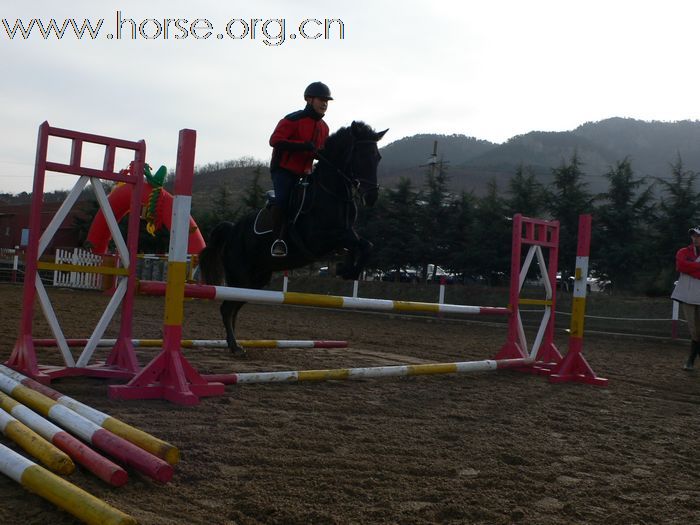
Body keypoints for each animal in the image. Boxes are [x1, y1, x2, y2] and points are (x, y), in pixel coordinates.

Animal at [198, 121, 388, 354]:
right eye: (360, 155)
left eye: (377, 157)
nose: (371, 197)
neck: (332, 193)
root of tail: (233, 229)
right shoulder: (319, 239)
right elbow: (358, 243)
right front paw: (347, 269)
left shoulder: (344, 235)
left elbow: (363, 245)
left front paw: (346, 269)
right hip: (241, 276)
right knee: (227, 309)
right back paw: (234, 345)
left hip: (256, 280)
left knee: (233, 308)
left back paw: (234, 344)